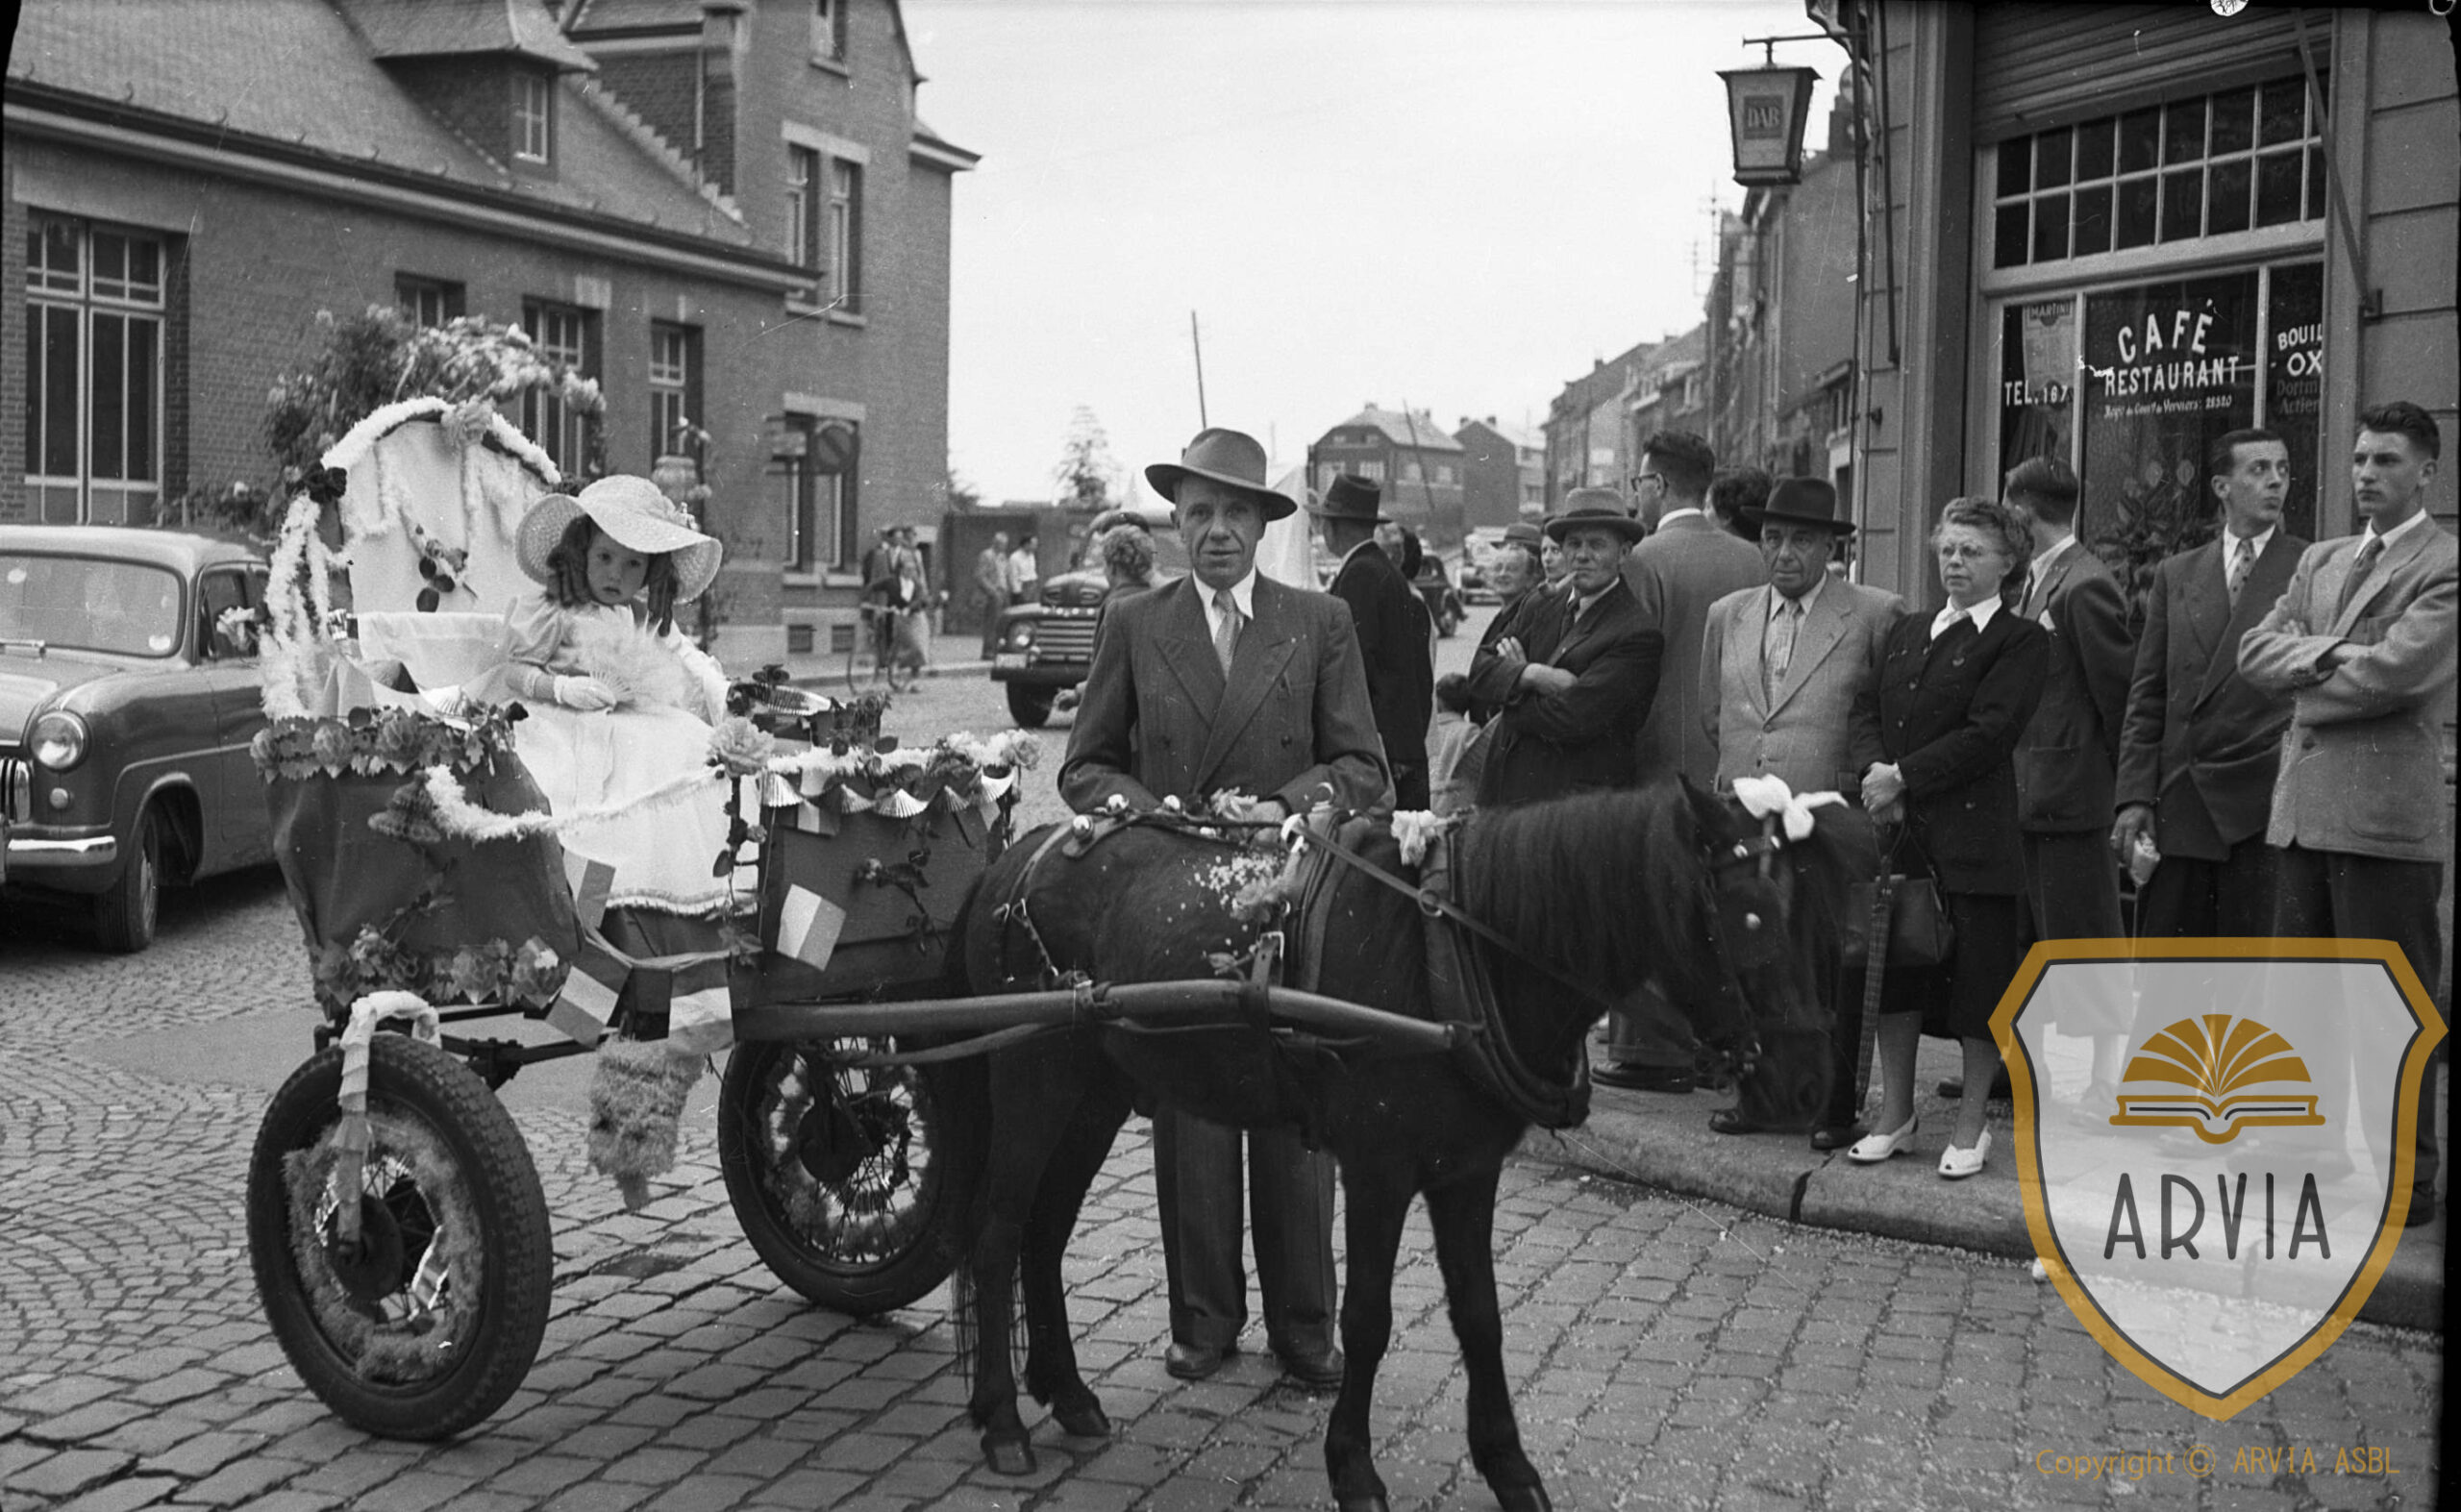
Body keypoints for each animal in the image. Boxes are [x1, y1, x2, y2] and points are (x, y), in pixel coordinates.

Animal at [940, 780, 1872, 1512]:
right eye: (1750, 917)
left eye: (1818, 917)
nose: (1807, 1083)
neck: (1455, 953)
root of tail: (1015, 858)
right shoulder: (1380, 1169)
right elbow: (1369, 1316)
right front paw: (1353, 1467)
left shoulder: (1467, 1170)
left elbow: (1481, 1315)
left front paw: (1508, 1463)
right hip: (1032, 1080)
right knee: (995, 1234)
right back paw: (1002, 1419)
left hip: (1093, 1090)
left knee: (1043, 1235)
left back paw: (1067, 1392)